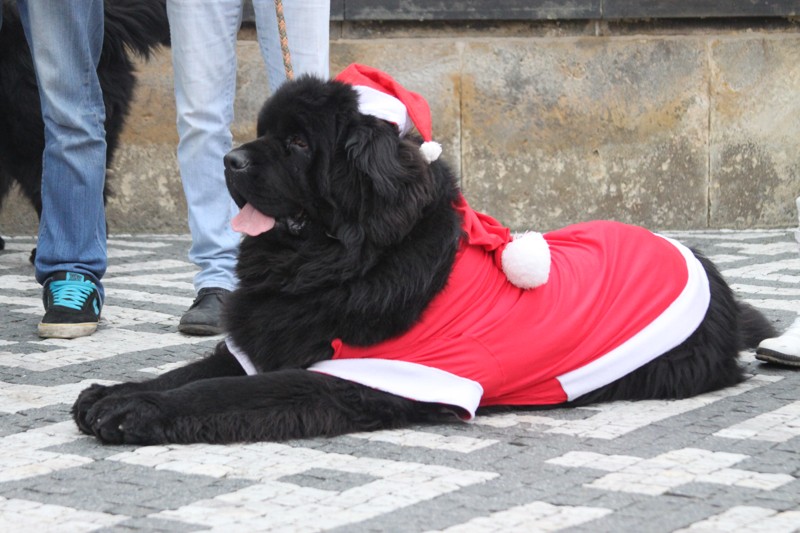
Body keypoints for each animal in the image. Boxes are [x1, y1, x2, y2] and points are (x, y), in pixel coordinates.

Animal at [73, 65, 777, 445]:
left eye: (299, 143)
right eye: (265, 133)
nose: (230, 159)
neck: (345, 264)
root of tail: (708, 269)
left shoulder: (357, 376)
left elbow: (224, 393)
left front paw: (134, 411)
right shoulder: (260, 341)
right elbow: (193, 371)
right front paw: (114, 390)